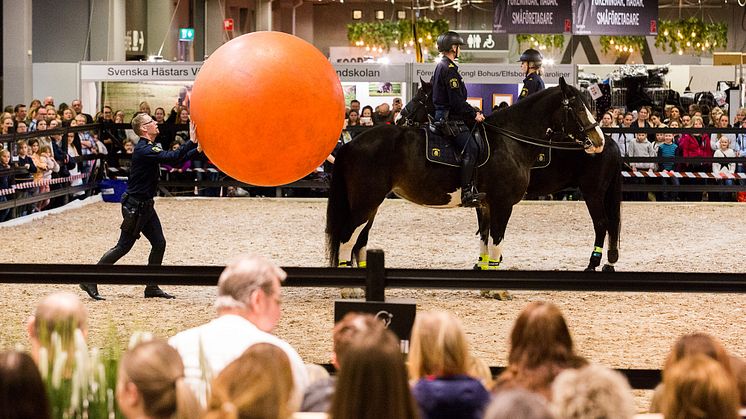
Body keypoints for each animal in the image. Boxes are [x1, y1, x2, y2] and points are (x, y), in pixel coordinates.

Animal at [326, 77, 620, 270]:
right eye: (577, 107)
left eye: (420, 98)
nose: (597, 139)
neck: (510, 139)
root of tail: (352, 143)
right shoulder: (499, 204)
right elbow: (492, 239)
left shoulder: (488, 204)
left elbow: (486, 238)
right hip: (367, 202)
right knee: (349, 239)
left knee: (602, 224)